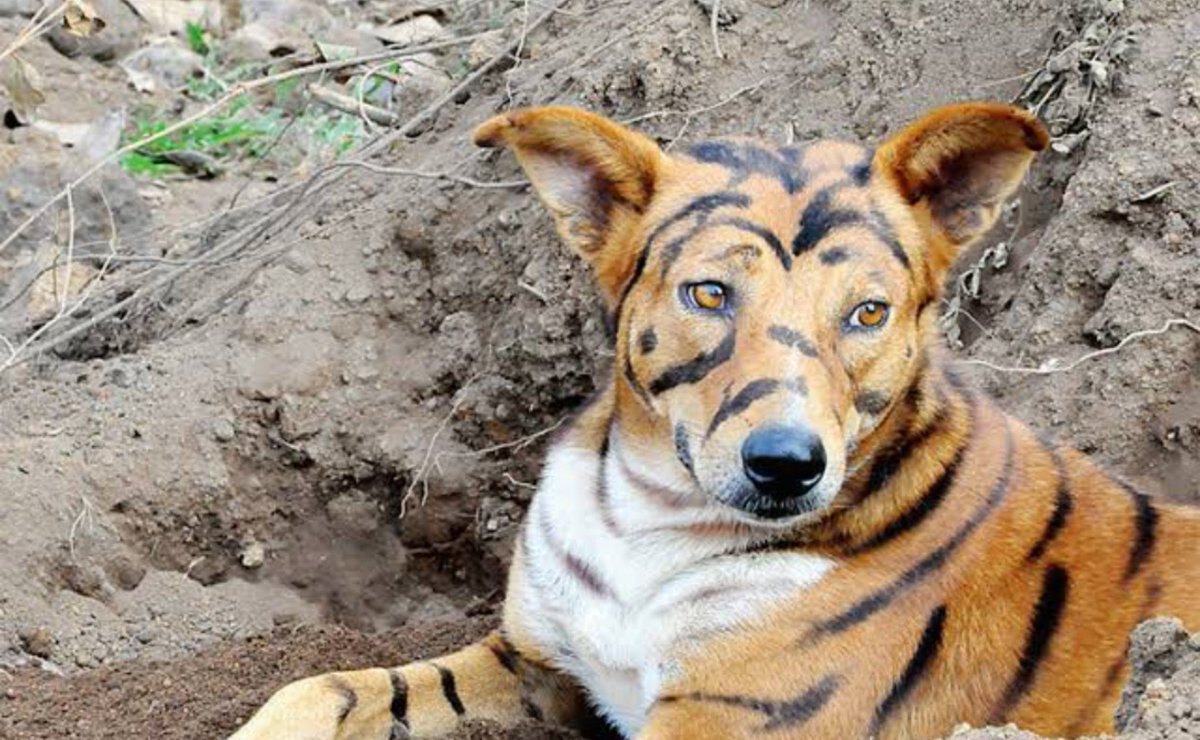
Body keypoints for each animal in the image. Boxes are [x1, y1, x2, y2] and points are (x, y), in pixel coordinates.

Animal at [230, 102, 1200, 740]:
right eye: (710, 293)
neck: (648, 521)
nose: (787, 464)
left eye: (868, 313)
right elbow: (332, 688)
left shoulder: (717, 724)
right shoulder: (539, 660)